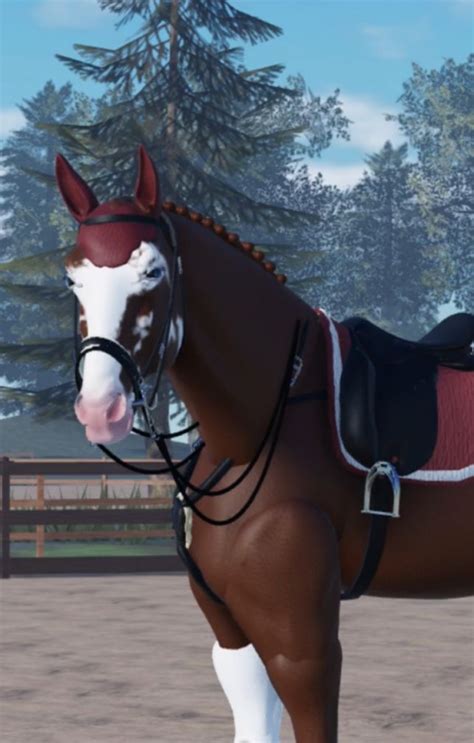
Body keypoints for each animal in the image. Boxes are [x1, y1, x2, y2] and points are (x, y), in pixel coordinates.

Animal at [55, 146, 474, 743]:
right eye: (72, 279)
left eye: (154, 271)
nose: (99, 407)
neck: (255, 436)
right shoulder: (234, 635)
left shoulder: (303, 648)